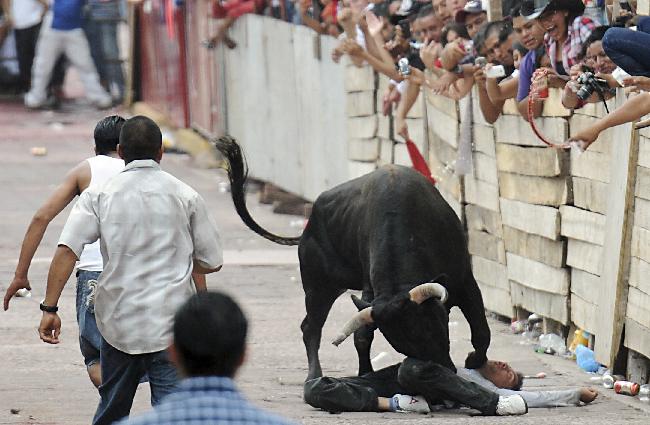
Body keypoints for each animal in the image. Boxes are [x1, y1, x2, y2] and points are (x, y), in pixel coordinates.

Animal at [215, 137, 488, 380]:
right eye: (401, 341)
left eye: (433, 324)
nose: (445, 369)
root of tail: (309, 225)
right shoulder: (369, 292)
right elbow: (363, 336)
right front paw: (365, 374)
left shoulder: (465, 280)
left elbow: (481, 329)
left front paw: (475, 361)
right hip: (318, 287)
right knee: (310, 327)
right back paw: (314, 375)